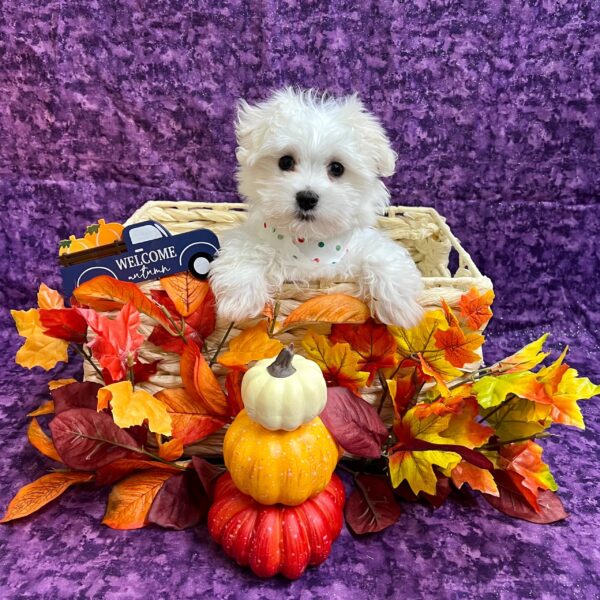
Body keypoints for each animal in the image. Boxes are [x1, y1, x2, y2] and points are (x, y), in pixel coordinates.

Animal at [209, 88, 424, 328]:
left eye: (337, 168)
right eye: (285, 162)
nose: (307, 198)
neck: (310, 243)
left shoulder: (359, 245)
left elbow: (383, 256)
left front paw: (400, 307)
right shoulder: (250, 236)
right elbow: (245, 250)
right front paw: (239, 301)